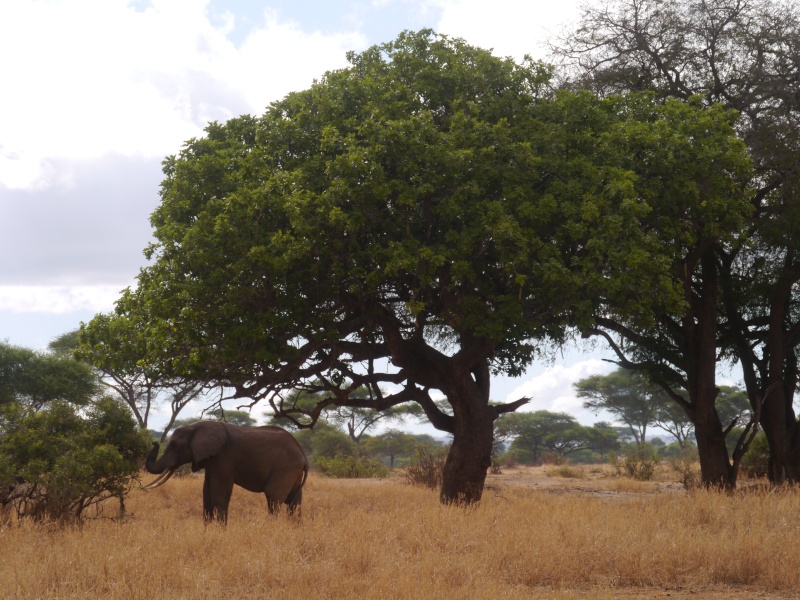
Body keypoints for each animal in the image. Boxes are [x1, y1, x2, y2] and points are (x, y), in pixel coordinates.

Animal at [144, 420, 306, 524]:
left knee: (273, 496)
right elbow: (206, 490)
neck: (195, 426)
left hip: (286, 467)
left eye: (174, 445)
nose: (153, 441)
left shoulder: (224, 456)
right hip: (293, 471)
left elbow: (220, 490)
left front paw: (220, 531)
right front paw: (207, 529)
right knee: (294, 500)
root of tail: (303, 455)